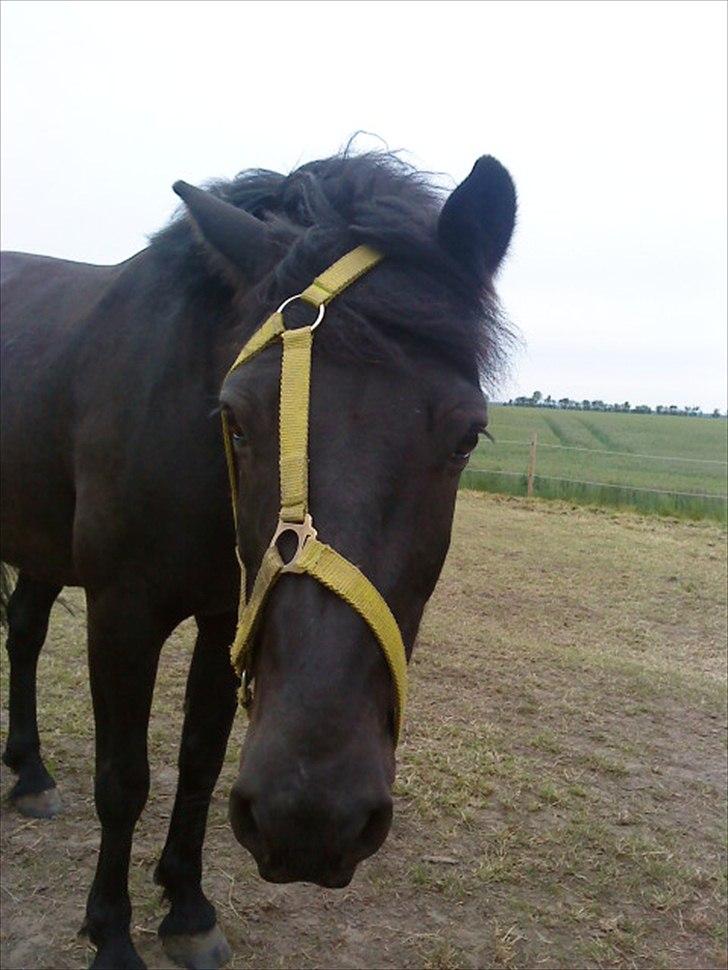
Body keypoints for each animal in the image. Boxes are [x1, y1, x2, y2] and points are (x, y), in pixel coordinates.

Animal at [0, 147, 516, 964]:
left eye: (468, 437)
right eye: (235, 417)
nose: (310, 820)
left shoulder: (226, 612)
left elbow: (200, 760)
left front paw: (186, 907)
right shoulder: (122, 611)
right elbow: (124, 779)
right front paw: (111, 931)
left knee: (22, 628)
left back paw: (29, 773)